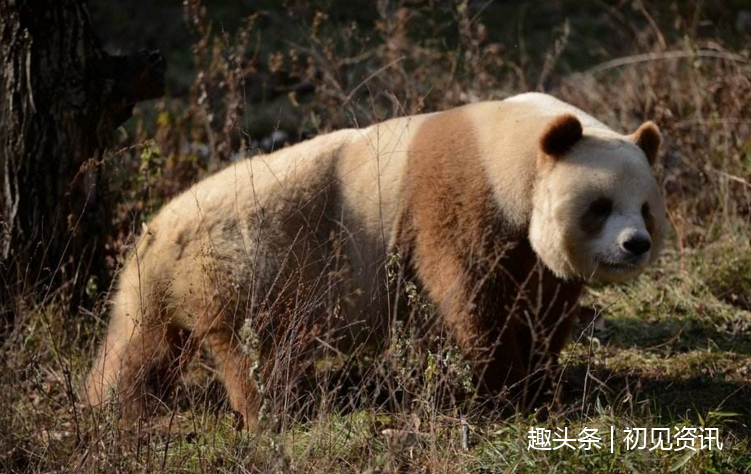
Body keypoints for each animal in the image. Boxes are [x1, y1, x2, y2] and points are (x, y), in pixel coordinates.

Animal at [85, 92, 668, 430]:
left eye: (645, 208)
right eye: (599, 206)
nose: (634, 245)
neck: (512, 147)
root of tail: (161, 233)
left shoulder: (529, 246)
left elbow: (542, 304)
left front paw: (540, 382)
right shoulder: (458, 197)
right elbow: (471, 295)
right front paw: (504, 390)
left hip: (159, 284)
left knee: (141, 344)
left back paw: (113, 404)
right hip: (243, 260)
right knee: (252, 348)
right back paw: (275, 412)